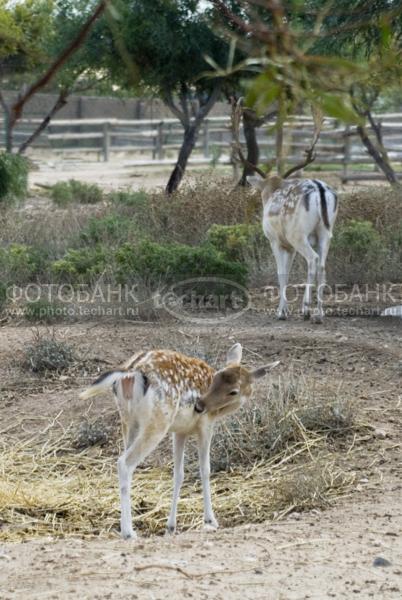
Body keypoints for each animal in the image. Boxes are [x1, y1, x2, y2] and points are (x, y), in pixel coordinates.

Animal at [80, 342, 278, 540]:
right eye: (230, 390)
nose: (199, 406)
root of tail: (132, 371)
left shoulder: (179, 431)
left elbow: (178, 474)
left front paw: (171, 527)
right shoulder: (206, 424)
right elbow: (205, 470)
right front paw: (210, 520)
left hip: (128, 421)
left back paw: (127, 528)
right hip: (158, 422)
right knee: (124, 463)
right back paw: (129, 533)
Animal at [232, 99, 340, 324]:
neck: (272, 190)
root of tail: (320, 188)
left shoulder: (275, 239)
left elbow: (281, 272)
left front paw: (281, 312)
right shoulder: (288, 246)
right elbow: (287, 272)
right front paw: (286, 309)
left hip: (298, 233)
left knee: (313, 260)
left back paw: (307, 310)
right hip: (326, 231)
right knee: (323, 264)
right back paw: (319, 314)